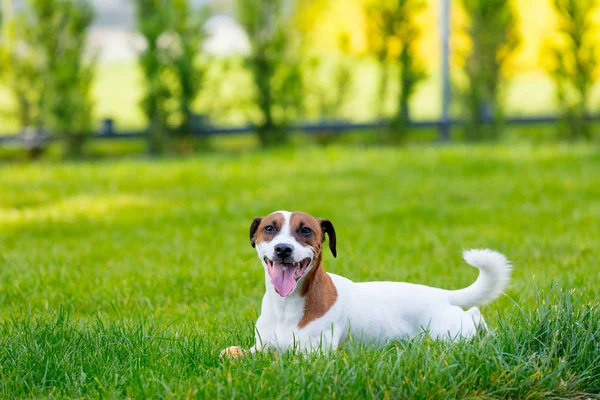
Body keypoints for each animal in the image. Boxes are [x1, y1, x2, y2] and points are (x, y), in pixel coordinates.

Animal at [220, 209, 510, 356]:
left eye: (305, 230)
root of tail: (442, 295)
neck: (286, 307)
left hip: (447, 335)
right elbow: (234, 353)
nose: (283, 249)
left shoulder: (313, 354)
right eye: (269, 228)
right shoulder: (259, 347)